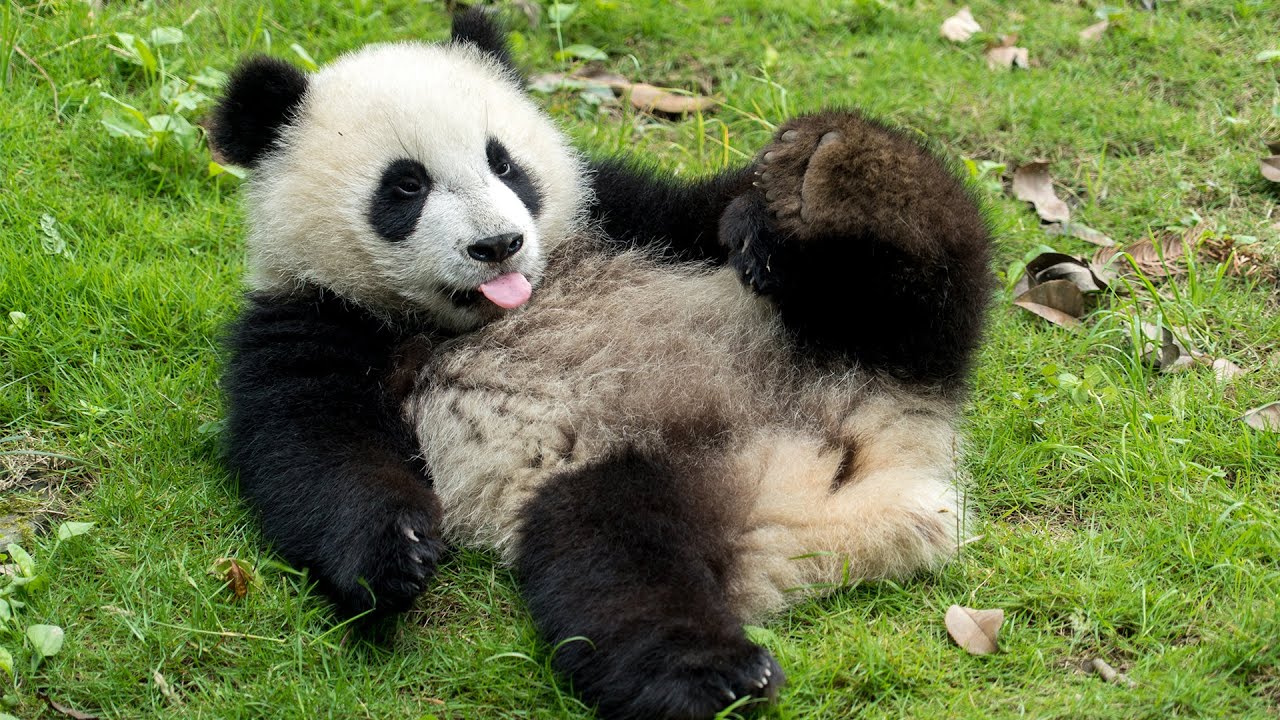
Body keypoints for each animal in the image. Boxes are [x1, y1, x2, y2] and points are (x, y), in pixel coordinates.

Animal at [210, 10, 992, 720]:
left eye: (504, 163)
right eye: (405, 186)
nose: (498, 245)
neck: (485, 314)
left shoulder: (619, 212)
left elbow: (702, 208)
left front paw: (774, 200)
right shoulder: (311, 317)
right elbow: (314, 450)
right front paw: (396, 553)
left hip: (829, 336)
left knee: (931, 276)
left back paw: (852, 172)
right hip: (621, 468)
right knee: (613, 564)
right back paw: (715, 676)